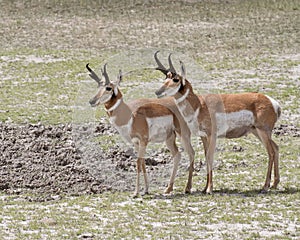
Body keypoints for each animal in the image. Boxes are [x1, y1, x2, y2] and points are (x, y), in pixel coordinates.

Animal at [86, 62, 195, 197]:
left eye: (108, 88)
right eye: (98, 86)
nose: (92, 101)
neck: (129, 114)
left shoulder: (143, 141)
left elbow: (138, 163)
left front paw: (136, 192)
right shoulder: (136, 143)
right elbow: (142, 162)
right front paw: (146, 190)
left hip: (183, 135)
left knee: (191, 153)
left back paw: (188, 188)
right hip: (169, 138)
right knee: (177, 154)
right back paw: (168, 189)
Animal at [155, 51, 282, 194]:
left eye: (176, 79)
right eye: (165, 78)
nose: (158, 92)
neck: (199, 105)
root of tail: (272, 101)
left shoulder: (212, 135)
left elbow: (210, 157)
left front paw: (210, 189)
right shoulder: (204, 136)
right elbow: (206, 156)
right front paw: (205, 187)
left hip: (263, 132)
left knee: (271, 152)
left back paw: (265, 186)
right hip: (257, 132)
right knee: (276, 148)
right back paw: (274, 184)